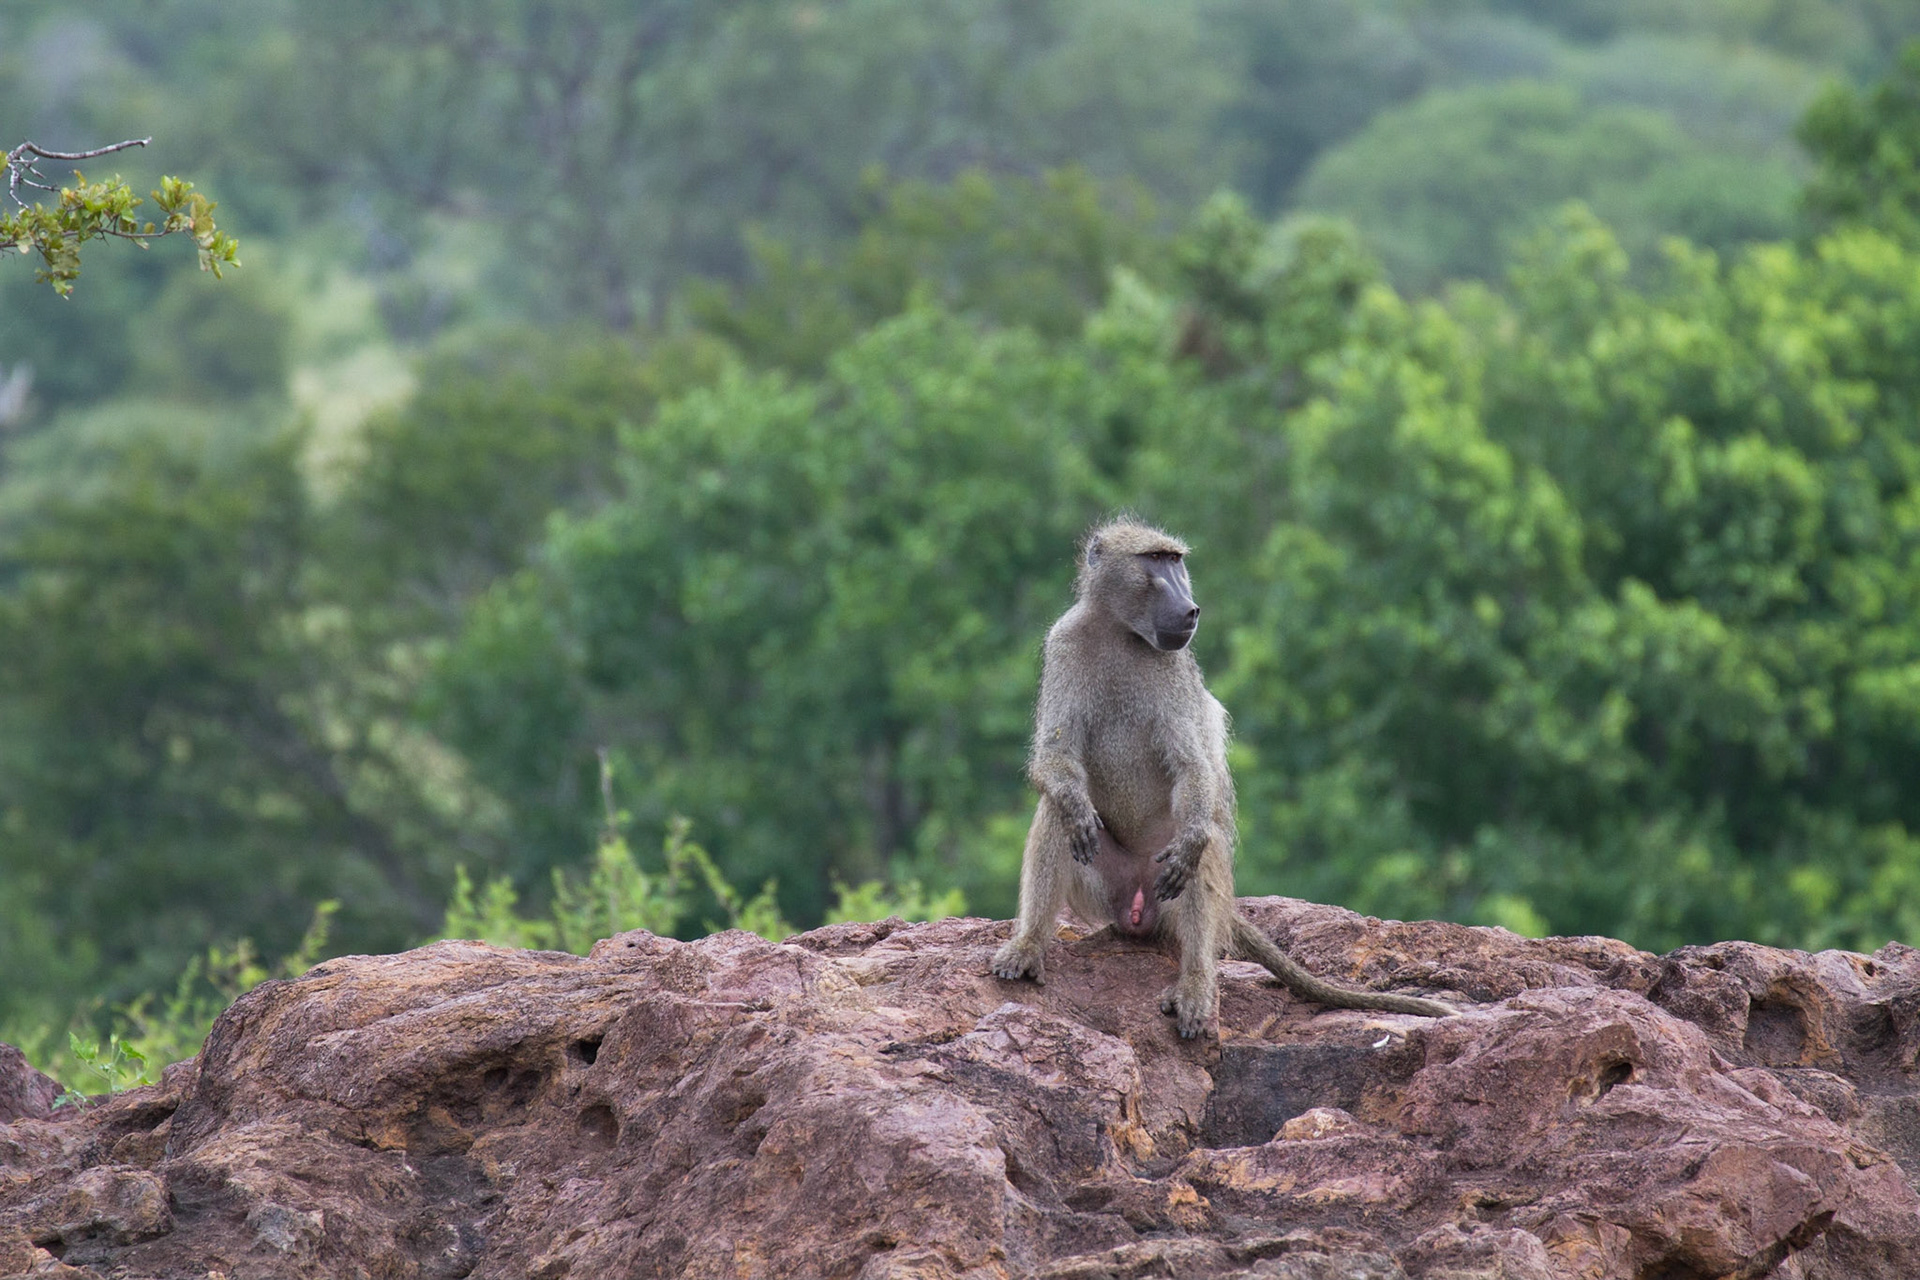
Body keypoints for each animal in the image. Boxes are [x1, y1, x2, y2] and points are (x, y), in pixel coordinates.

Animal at [989, 518, 1455, 1037]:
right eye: (1155, 559)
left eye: (1176, 561)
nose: (1191, 608)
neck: (1119, 632)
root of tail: (1135, 910)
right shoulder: (1064, 644)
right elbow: (1055, 759)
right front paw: (1074, 808)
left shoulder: (1173, 672)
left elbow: (1194, 771)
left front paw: (1193, 838)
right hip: (1105, 887)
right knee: (1059, 815)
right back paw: (1029, 945)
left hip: (1162, 879)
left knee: (1203, 839)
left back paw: (1195, 984)